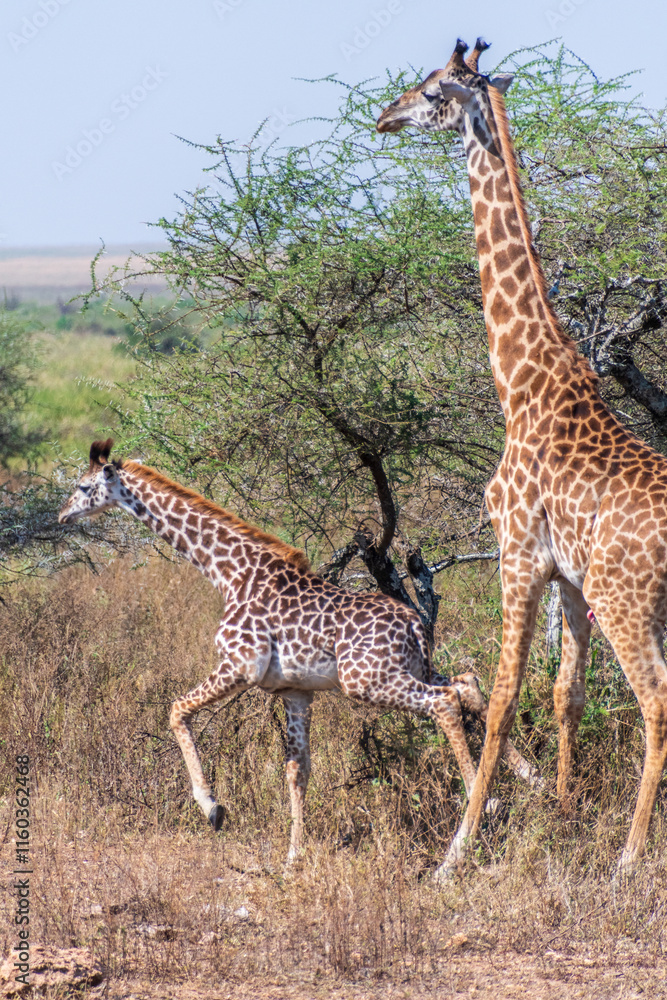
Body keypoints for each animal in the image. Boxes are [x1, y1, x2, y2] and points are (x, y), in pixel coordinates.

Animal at [59, 438, 537, 862]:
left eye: (82, 486)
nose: (63, 515)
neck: (227, 573)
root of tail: (416, 625)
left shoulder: (240, 665)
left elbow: (176, 709)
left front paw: (212, 808)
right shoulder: (294, 691)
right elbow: (298, 770)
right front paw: (292, 857)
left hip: (367, 679)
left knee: (445, 701)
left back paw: (482, 802)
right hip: (412, 667)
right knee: (468, 683)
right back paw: (530, 778)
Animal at [378, 39, 667, 877]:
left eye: (431, 90)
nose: (382, 116)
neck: (521, 379)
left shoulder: (515, 553)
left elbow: (505, 695)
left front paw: (455, 852)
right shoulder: (565, 572)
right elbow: (566, 692)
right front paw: (566, 811)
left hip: (628, 600)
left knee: (656, 701)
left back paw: (629, 857)